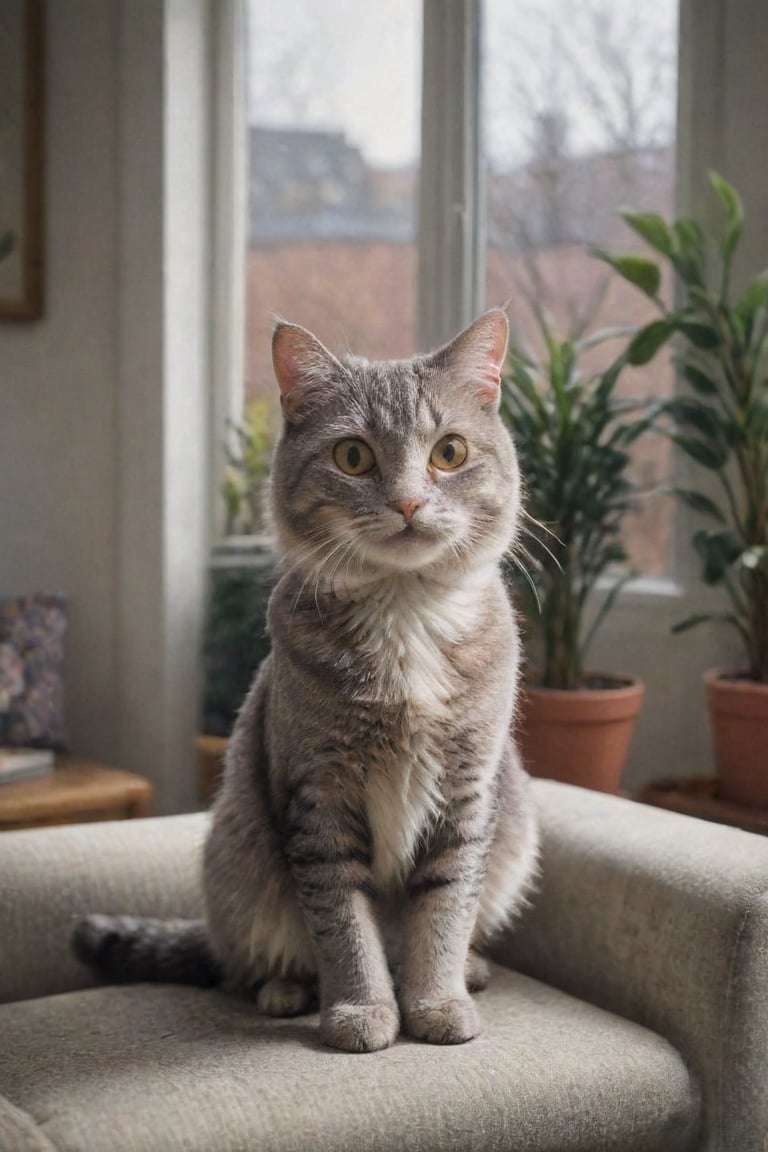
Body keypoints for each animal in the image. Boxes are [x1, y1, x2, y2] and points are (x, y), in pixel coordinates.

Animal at [73, 308, 541, 1055]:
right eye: (353, 456)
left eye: (450, 452)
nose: (409, 502)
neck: (404, 617)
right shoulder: (317, 796)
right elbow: (345, 928)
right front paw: (361, 1010)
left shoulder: (468, 793)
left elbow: (444, 909)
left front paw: (437, 999)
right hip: (239, 863)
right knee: (245, 964)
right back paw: (284, 989)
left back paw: (468, 968)